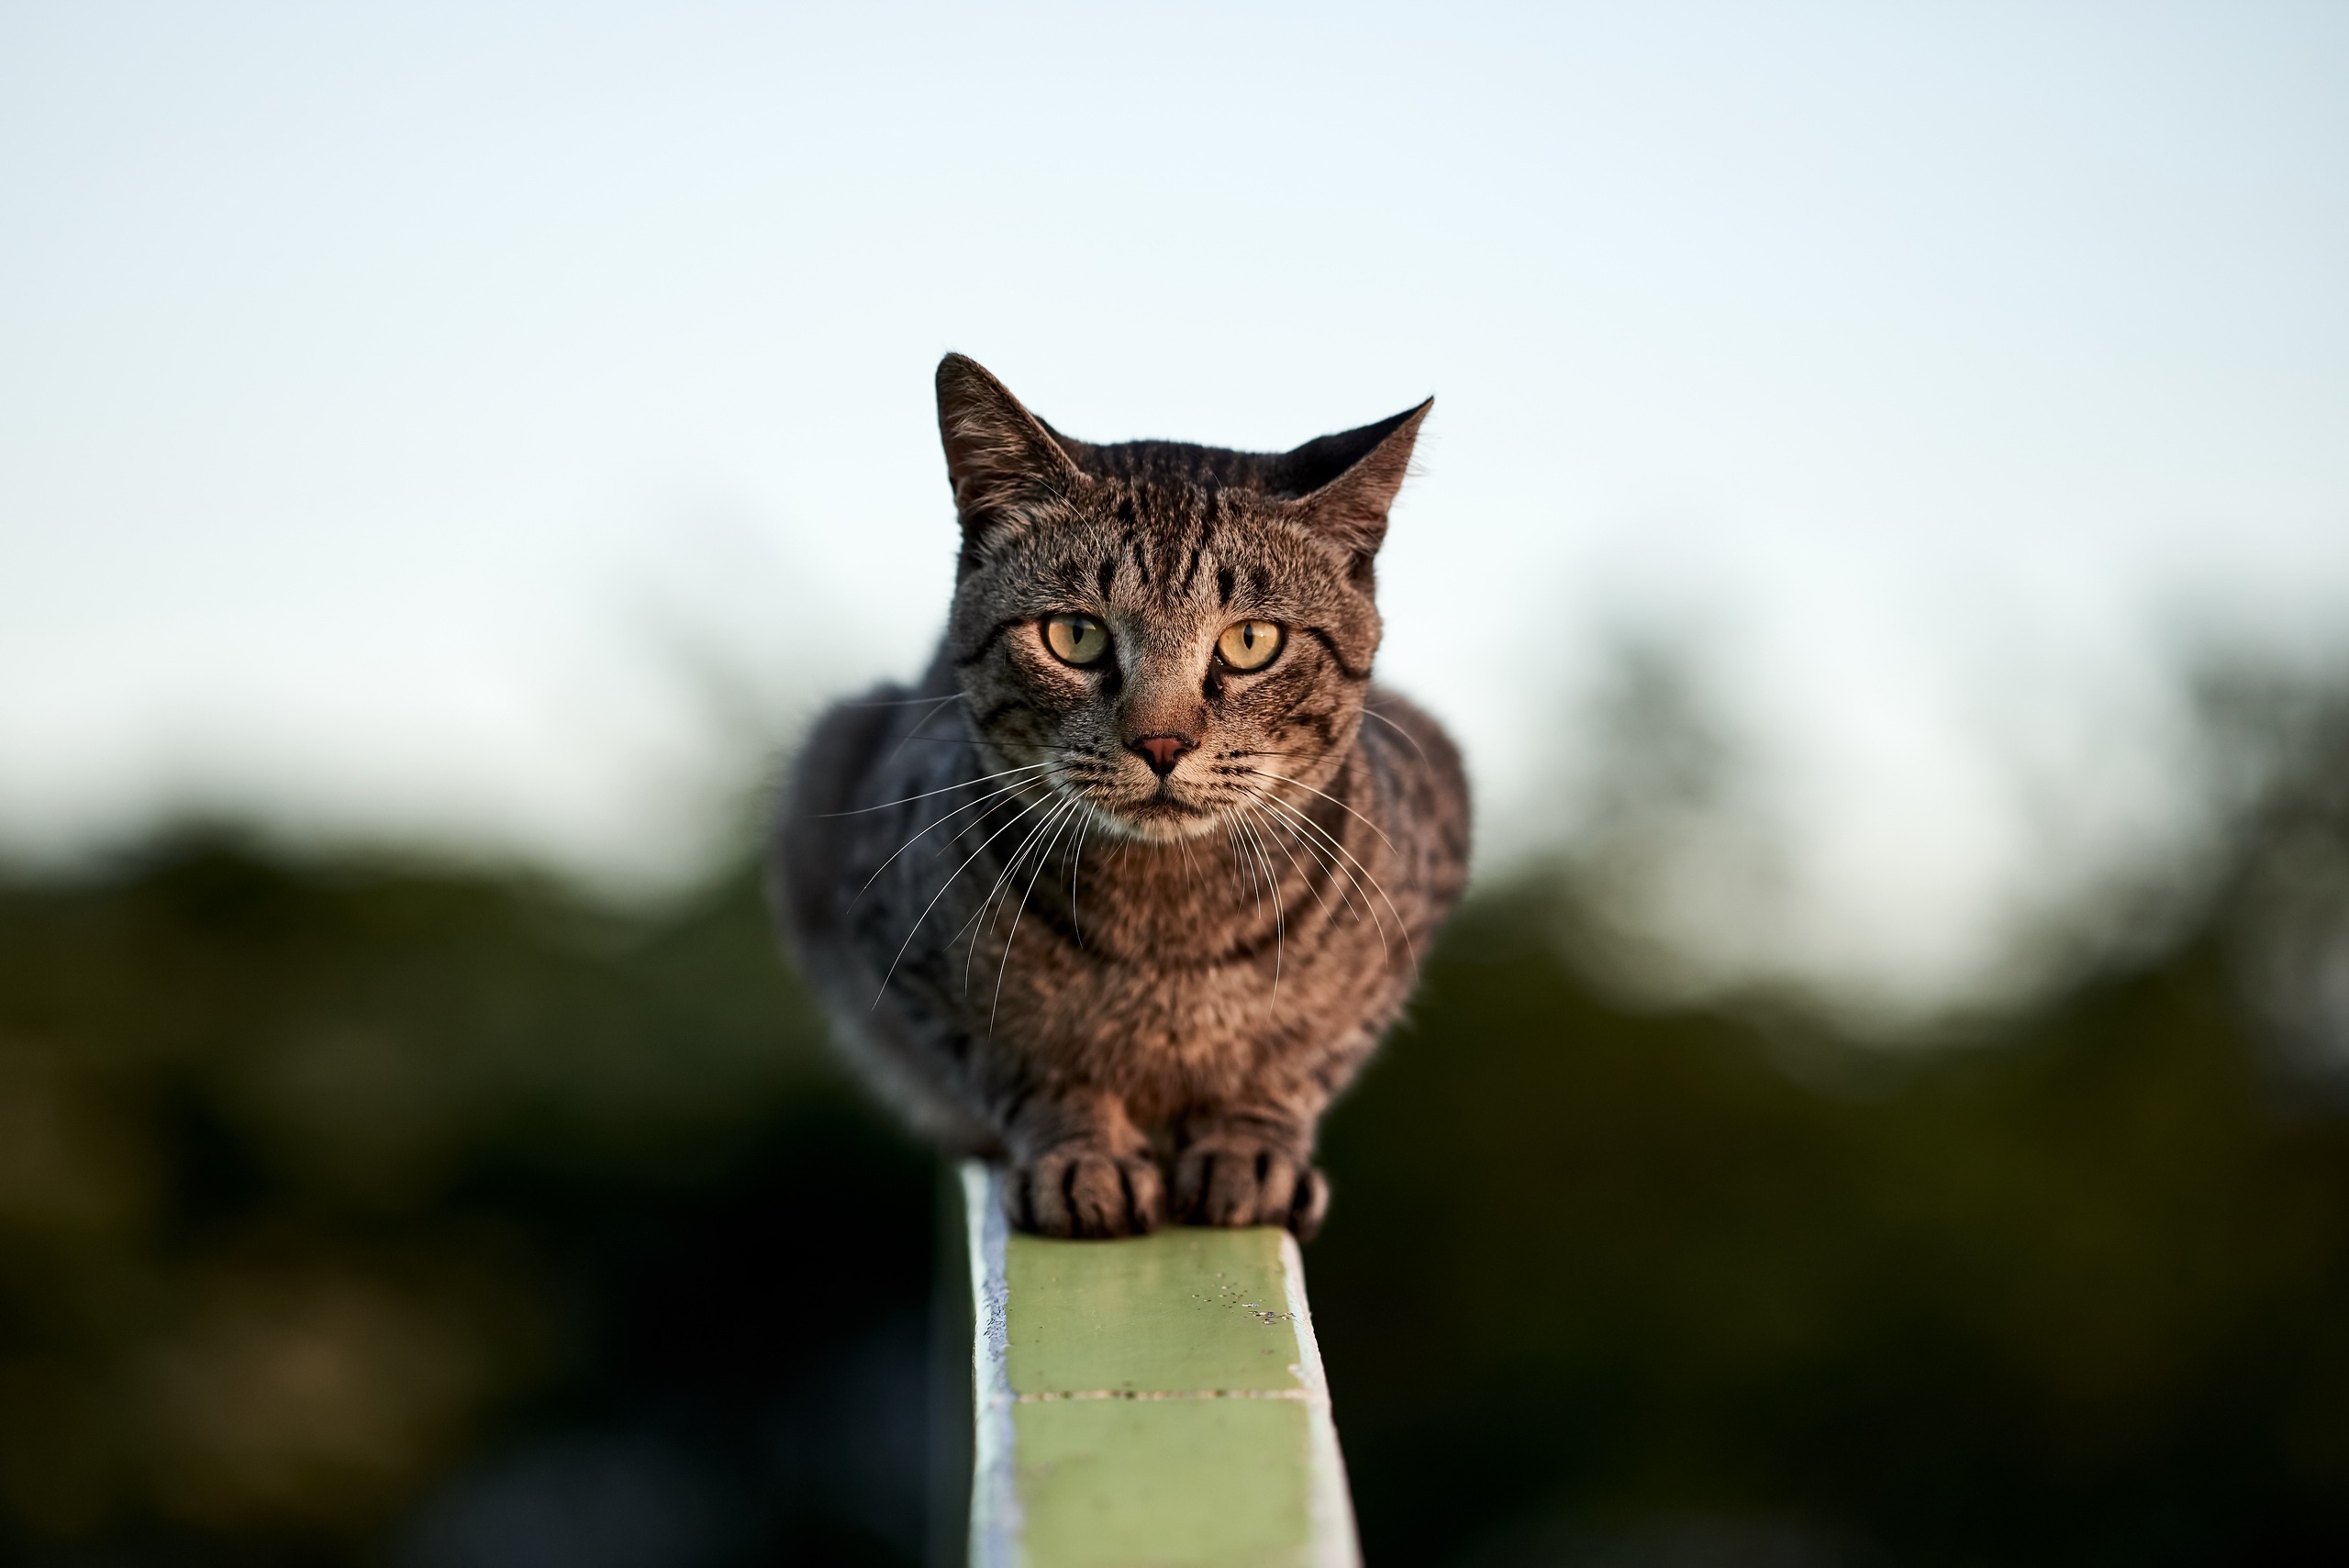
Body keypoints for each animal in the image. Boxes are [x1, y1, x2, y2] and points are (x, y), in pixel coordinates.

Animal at [770, 351, 1465, 1239]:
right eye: (1076, 635)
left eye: (1251, 640)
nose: (1162, 743)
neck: (1166, 936)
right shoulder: (902, 946)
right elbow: (1026, 1066)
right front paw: (1082, 1155)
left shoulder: (1404, 917)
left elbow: (1296, 1065)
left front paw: (1251, 1147)